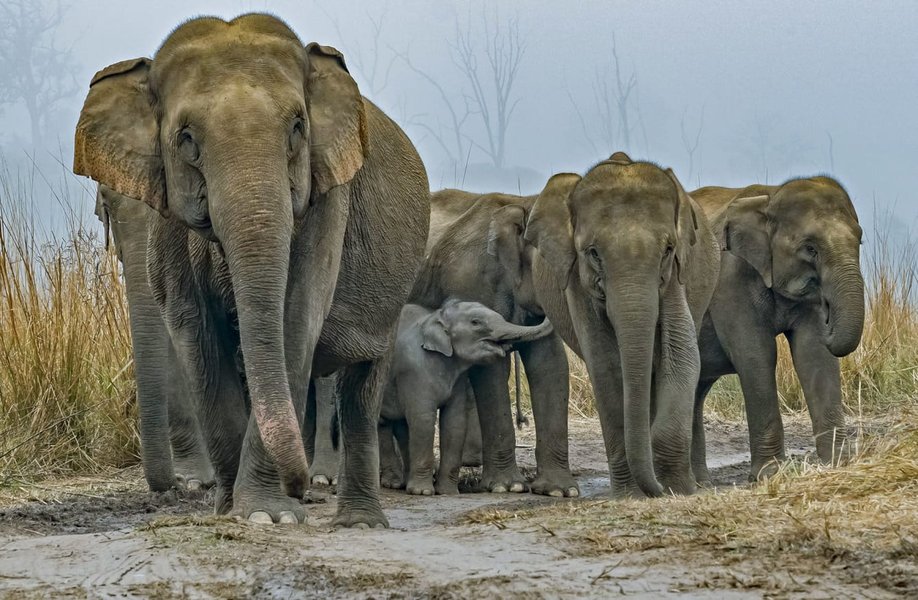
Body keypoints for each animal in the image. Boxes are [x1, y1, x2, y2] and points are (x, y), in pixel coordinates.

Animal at [378, 300, 553, 496]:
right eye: (475, 322)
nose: (542, 311)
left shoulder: (458, 379)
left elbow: (455, 422)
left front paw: (448, 492)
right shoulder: (414, 372)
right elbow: (423, 420)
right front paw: (422, 492)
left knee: (400, 427)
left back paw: (403, 483)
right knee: (384, 425)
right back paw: (393, 484)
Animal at [411, 191, 579, 498]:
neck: (523, 202)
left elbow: (550, 365)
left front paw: (561, 491)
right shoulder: (471, 282)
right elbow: (491, 368)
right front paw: (508, 487)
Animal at [524, 153, 720, 498]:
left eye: (668, 250)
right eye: (593, 253)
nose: (657, 490)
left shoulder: (675, 278)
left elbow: (681, 356)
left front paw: (678, 490)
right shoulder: (578, 284)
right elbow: (605, 366)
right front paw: (631, 494)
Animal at [690, 176, 864, 483]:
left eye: (860, 239)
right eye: (810, 248)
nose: (828, 313)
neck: (770, 197)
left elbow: (813, 354)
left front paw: (838, 463)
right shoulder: (730, 278)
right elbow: (757, 354)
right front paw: (769, 474)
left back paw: (698, 483)